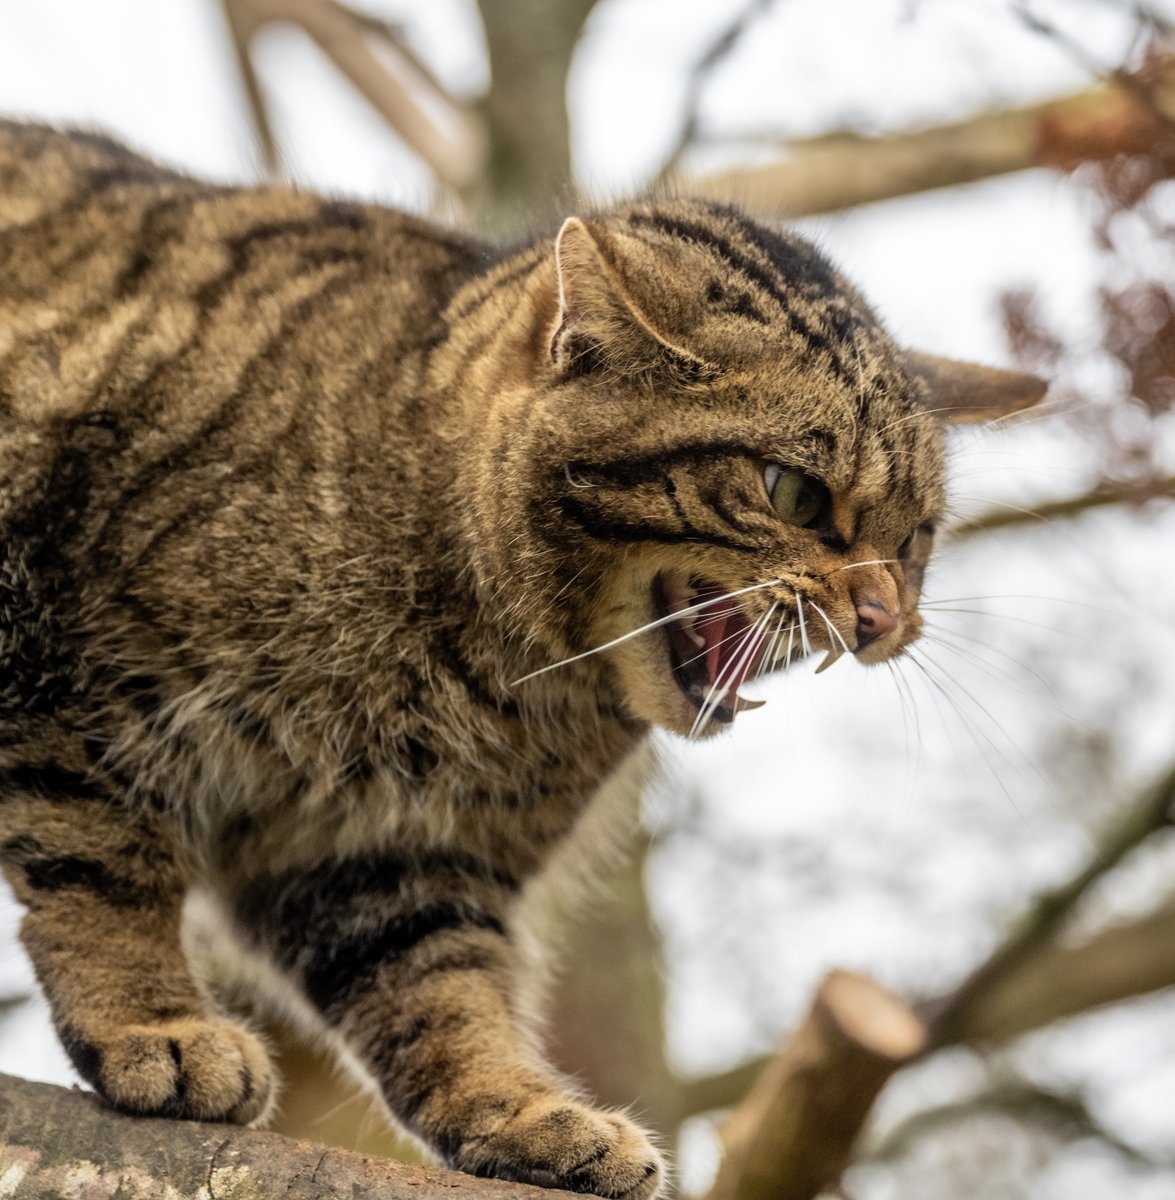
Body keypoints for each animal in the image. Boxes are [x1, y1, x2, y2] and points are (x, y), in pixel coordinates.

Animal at [2, 124, 1046, 1200]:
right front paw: (153, 1023)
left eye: (915, 539)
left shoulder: (394, 861)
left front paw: (517, 1111)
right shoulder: (68, 680)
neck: (488, 672)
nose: (887, 617)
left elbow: (441, 994)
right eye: (790, 492)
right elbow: (103, 867)